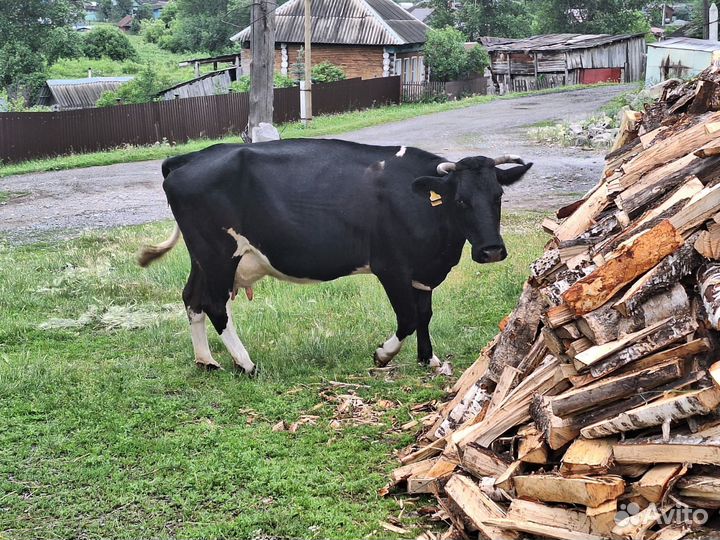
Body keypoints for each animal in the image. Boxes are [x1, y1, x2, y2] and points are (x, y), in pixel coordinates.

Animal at [138, 139, 532, 375]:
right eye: (461, 200)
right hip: (218, 253)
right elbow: (407, 317)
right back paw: (246, 363)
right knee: (215, 305)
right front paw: (383, 354)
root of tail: (188, 158)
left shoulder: (422, 270)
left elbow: (424, 314)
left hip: (204, 258)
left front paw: (428, 359)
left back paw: (206, 361)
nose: (491, 250)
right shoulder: (391, 267)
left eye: (498, 196)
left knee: (193, 298)